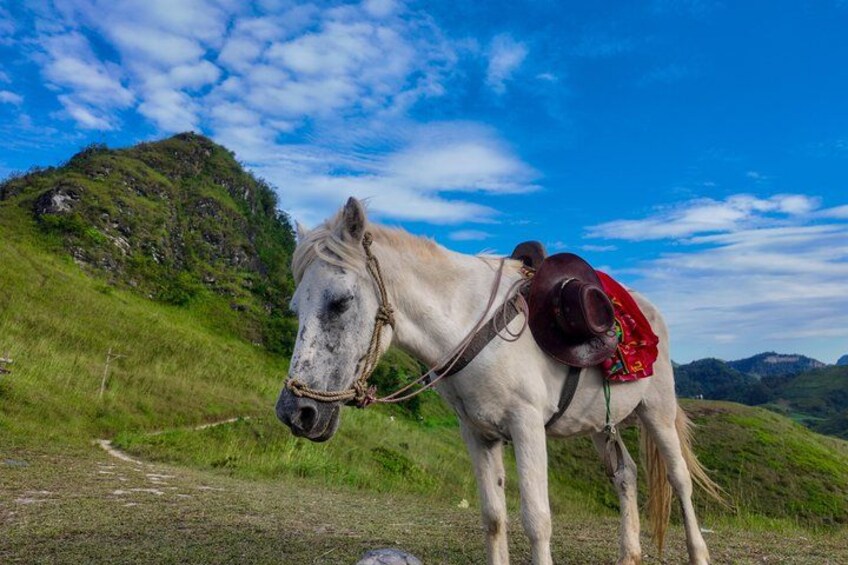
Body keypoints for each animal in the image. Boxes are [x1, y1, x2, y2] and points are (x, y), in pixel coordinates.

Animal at [276, 197, 722, 565]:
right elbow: (493, 518)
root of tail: (646, 310)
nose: (295, 413)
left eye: (340, 302)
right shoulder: (477, 434)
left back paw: (698, 553)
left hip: (657, 411)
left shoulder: (527, 427)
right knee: (625, 474)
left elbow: (537, 521)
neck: (469, 324)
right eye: (296, 308)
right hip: (599, 422)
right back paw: (628, 554)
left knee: (679, 479)